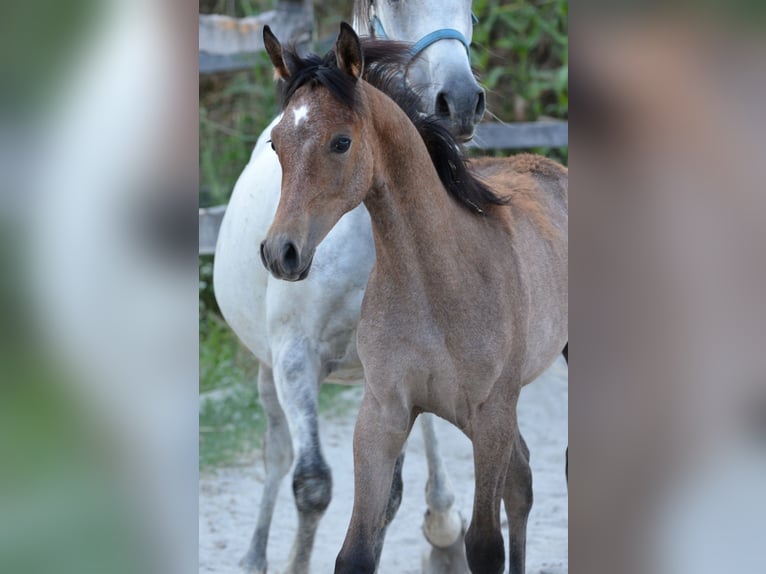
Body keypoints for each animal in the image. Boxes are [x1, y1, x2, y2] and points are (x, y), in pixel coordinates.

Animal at [212, 2, 484, 573]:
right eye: (389, 8)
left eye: (471, 9)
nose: (460, 100)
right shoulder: (294, 357)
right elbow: (311, 483)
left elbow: (388, 494)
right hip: (269, 369)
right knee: (276, 453)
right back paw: (253, 556)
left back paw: (444, 527)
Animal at [260, 23, 567, 574]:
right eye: (276, 143)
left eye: (341, 142)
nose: (281, 252)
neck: (437, 281)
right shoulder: (382, 415)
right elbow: (356, 552)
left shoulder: (490, 414)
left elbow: (484, 546)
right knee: (522, 483)